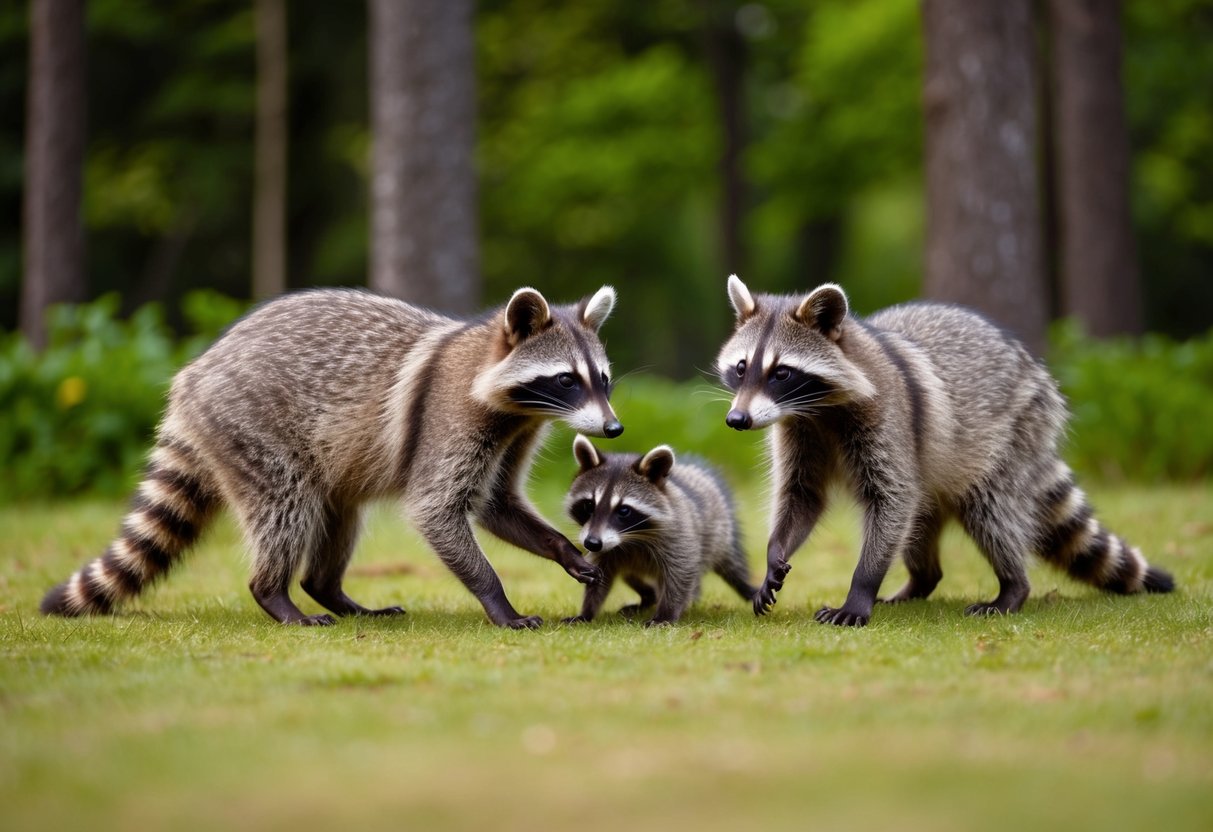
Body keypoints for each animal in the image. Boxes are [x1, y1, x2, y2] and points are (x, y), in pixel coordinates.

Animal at [41, 286, 624, 629]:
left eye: (603, 379)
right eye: (566, 380)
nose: (614, 428)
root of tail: (194, 374)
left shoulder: (515, 433)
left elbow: (497, 503)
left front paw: (563, 549)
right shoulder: (449, 417)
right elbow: (435, 507)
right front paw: (496, 598)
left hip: (331, 462)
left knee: (340, 513)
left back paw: (329, 592)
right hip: (251, 426)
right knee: (285, 506)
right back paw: (274, 593)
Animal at [562, 435, 755, 626]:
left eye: (624, 510)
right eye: (589, 505)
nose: (591, 543)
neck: (630, 538)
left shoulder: (679, 533)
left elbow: (681, 572)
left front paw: (666, 613)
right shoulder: (606, 547)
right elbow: (600, 574)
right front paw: (587, 611)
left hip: (720, 533)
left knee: (731, 567)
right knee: (630, 575)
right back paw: (648, 596)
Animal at [717, 274, 1174, 627]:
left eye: (781, 372)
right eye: (741, 368)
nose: (737, 420)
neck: (817, 409)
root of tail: (1034, 369)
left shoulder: (889, 420)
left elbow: (892, 499)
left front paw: (861, 588)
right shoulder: (799, 432)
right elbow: (803, 495)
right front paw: (775, 553)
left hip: (1013, 432)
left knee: (990, 512)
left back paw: (1013, 586)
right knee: (921, 523)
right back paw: (922, 580)